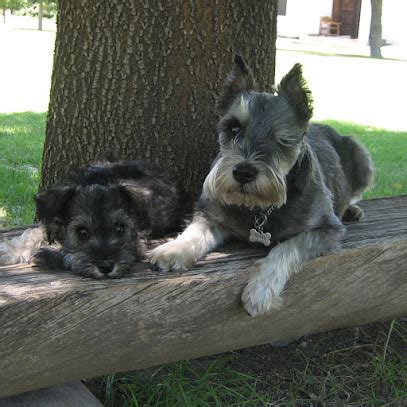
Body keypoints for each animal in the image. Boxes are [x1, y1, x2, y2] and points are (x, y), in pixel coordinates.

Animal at [0, 161, 179, 278]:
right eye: (82, 232)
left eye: (120, 229)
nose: (106, 267)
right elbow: (33, 231)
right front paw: (10, 250)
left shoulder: (138, 244)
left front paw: (50, 255)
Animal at [151, 55, 374, 316]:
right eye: (234, 127)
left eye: (282, 137)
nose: (243, 173)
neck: (258, 208)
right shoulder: (213, 215)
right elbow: (194, 232)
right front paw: (172, 250)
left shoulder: (326, 229)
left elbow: (286, 248)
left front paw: (260, 291)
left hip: (362, 158)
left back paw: (353, 209)